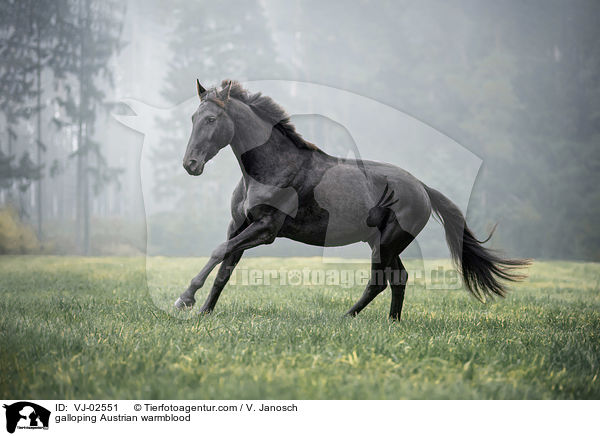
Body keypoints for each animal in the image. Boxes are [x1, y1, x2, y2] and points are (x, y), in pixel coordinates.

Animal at [175, 79, 528, 320]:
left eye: (211, 120)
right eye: (193, 118)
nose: (190, 164)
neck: (269, 169)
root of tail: (422, 188)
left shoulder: (265, 229)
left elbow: (219, 252)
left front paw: (185, 299)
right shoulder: (239, 225)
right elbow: (225, 265)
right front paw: (204, 311)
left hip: (387, 242)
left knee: (380, 281)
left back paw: (347, 317)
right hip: (382, 242)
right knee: (398, 279)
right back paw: (392, 322)